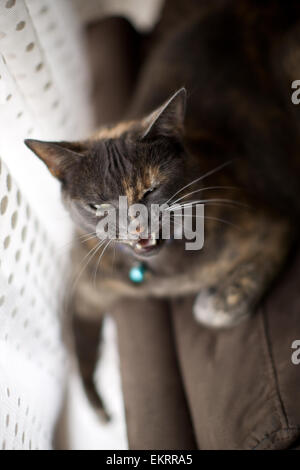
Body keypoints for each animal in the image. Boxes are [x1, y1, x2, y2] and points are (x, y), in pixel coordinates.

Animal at [24, 0, 300, 418]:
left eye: (151, 188)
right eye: (97, 205)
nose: (136, 227)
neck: (155, 278)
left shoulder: (270, 225)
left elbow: (225, 303)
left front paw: (213, 300)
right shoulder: (84, 279)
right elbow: (76, 340)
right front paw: (98, 408)